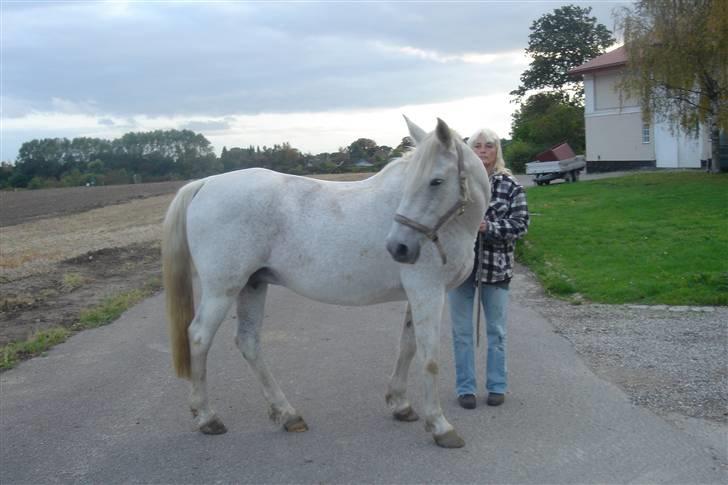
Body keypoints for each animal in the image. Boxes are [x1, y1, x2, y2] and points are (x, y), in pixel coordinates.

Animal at [160, 117, 490, 446]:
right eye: (414, 182)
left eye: (436, 181)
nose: (398, 248)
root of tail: (205, 183)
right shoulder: (427, 292)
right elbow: (430, 357)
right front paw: (440, 426)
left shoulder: (417, 294)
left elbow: (407, 347)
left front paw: (400, 404)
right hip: (222, 289)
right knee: (199, 337)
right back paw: (207, 417)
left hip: (252, 285)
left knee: (248, 342)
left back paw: (287, 414)